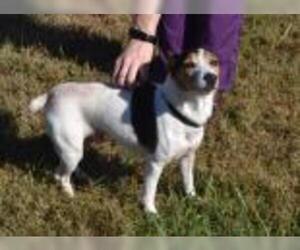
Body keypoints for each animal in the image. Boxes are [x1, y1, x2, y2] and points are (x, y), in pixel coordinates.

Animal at [29, 48, 219, 213]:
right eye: (189, 64)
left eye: (214, 62)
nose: (211, 77)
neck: (180, 107)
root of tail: (51, 94)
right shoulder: (155, 163)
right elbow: (150, 191)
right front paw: (150, 213)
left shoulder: (188, 157)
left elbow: (189, 182)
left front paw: (192, 198)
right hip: (71, 149)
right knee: (60, 175)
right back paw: (69, 194)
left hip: (77, 144)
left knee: (64, 168)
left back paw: (80, 175)